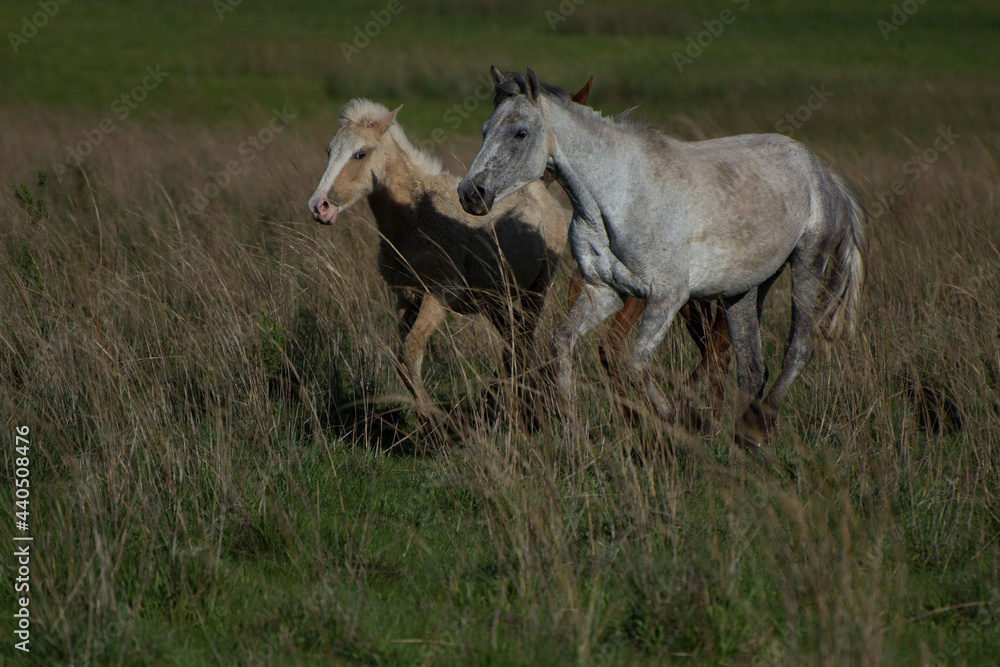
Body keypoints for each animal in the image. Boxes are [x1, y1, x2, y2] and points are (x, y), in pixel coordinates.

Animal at [307, 98, 568, 428]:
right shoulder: (406, 297)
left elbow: (412, 349)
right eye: (329, 151)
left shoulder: (440, 294)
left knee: (523, 340)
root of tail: (545, 196)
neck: (414, 217)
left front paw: (429, 416)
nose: (320, 207)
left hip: (537, 290)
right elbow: (401, 358)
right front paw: (427, 414)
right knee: (514, 343)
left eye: (360, 153)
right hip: (496, 301)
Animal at [458, 68, 866, 448]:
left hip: (807, 263)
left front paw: (680, 420)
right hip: (746, 289)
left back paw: (758, 423)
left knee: (798, 348)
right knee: (750, 368)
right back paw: (746, 442)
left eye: (520, 133)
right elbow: (562, 345)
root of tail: (823, 173)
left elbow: (635, 360)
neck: (617, 199)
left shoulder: (667, 296)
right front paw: (576, 434)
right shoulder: (603, 291)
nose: (470, 194)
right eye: (484, 130)